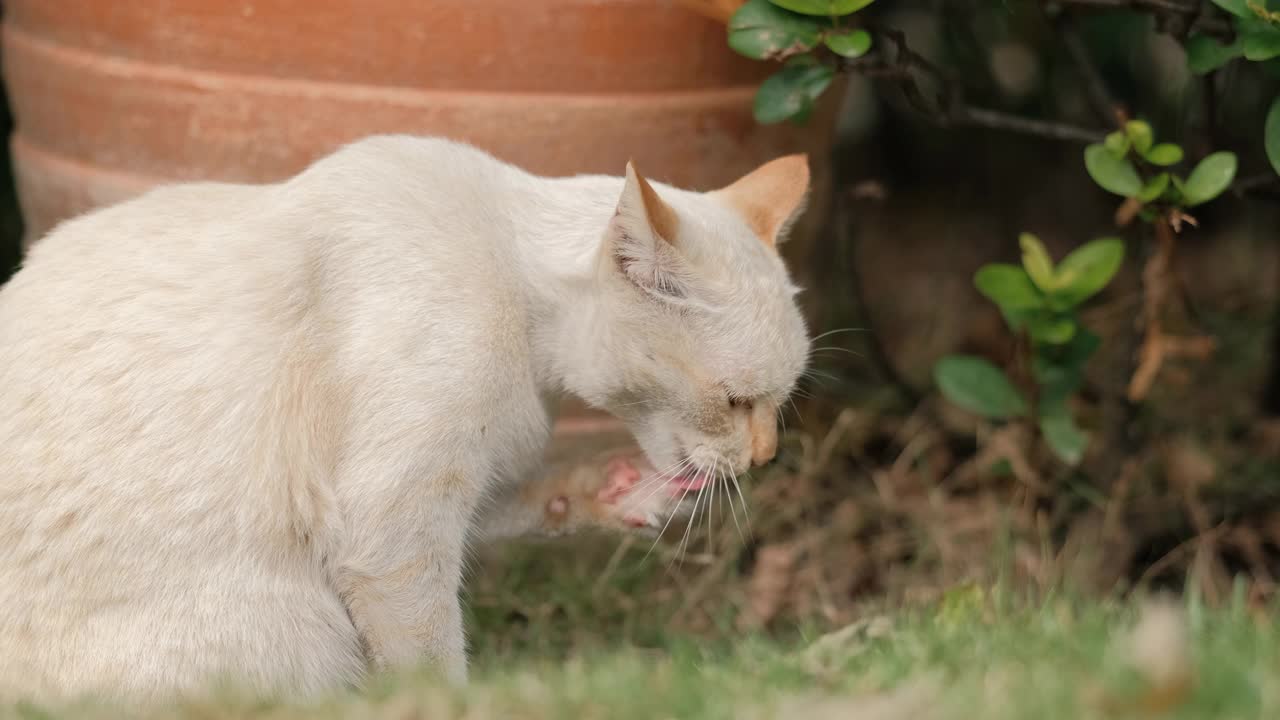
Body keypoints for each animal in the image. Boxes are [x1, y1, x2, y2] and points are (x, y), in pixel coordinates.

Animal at [0, 135, 808, 702]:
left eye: (780, 401)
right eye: (736, 401)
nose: (766, 457)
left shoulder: (467, 483)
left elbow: (527, 505)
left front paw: (618, 492)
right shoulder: (391, 525)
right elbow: (431, 661)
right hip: (301, 630)